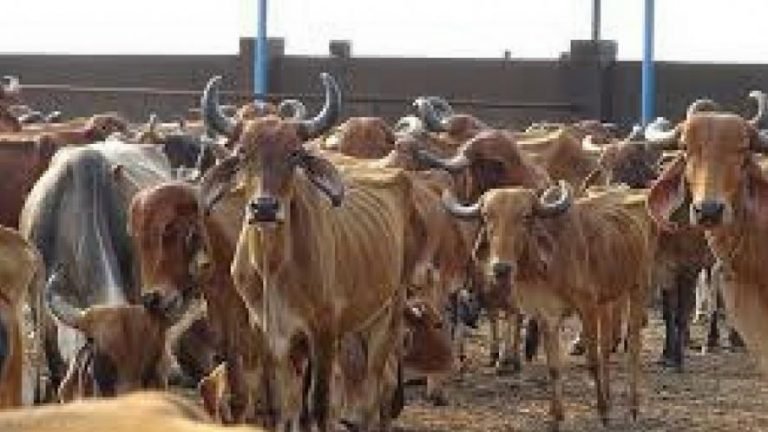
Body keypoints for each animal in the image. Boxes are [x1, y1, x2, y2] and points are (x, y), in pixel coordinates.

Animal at [199, 72, 410, 432]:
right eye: (242, 153)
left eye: (295, 153)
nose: (264, 208)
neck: (272, 265)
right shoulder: (268, 334)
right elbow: (280, 407)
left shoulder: (323, 332)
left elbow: (318, 405)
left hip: (388, 313)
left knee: (376, 387)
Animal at [442, 181, 649, 430]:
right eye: (486, 216)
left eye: (526, 216)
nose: (501, 268)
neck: (546, 267)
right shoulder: (547, 316)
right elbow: (554, 368)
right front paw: (555, 417)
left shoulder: (587, 307)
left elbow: (592, 362)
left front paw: (603, 413)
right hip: (607, 302)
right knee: (607, 348)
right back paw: (609, 396)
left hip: (636, 288)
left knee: (633, 348)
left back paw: (634, 407)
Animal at [645, 90, 768, 374]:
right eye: (685, 148)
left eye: (742, 149)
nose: (709, 210)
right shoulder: (665, 268)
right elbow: (669, 313)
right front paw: (667, 355)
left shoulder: (689, 269)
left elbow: (682, 314)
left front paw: (678, 359)